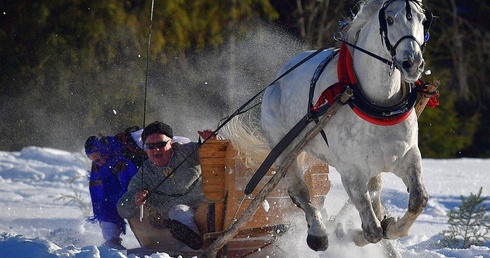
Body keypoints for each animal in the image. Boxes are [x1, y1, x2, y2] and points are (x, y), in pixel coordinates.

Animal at [258, 0, 430, 251]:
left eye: (422, 19)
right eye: (390, 19)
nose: (413, 63)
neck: (381, 108)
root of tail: (279, 75)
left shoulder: (408, 156)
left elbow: (418, 200)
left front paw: (394, 227)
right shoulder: (351, 173)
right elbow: (372, 232)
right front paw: (349, 233)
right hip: (284, 151)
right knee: (299, 190)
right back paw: (319, 233)